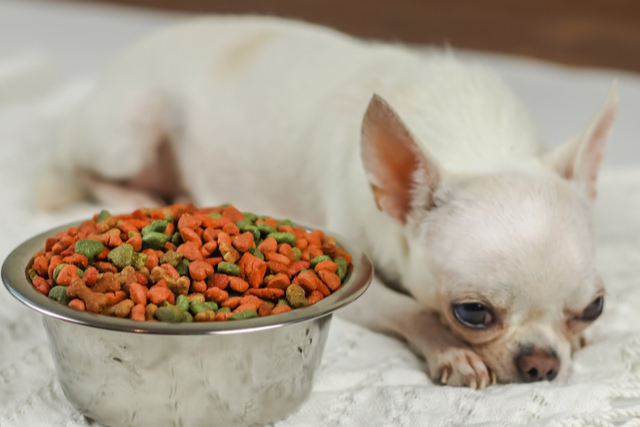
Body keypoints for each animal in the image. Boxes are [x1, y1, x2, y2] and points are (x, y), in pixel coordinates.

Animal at [38, 16, 616, 390]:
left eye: (594, 308)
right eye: (472, 313)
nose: (541, 364)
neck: (476, 144)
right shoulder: (359, 275)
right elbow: (412, 310)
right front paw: (452, 351)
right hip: (129, 131)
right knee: (85, 170)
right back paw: (144, 193)